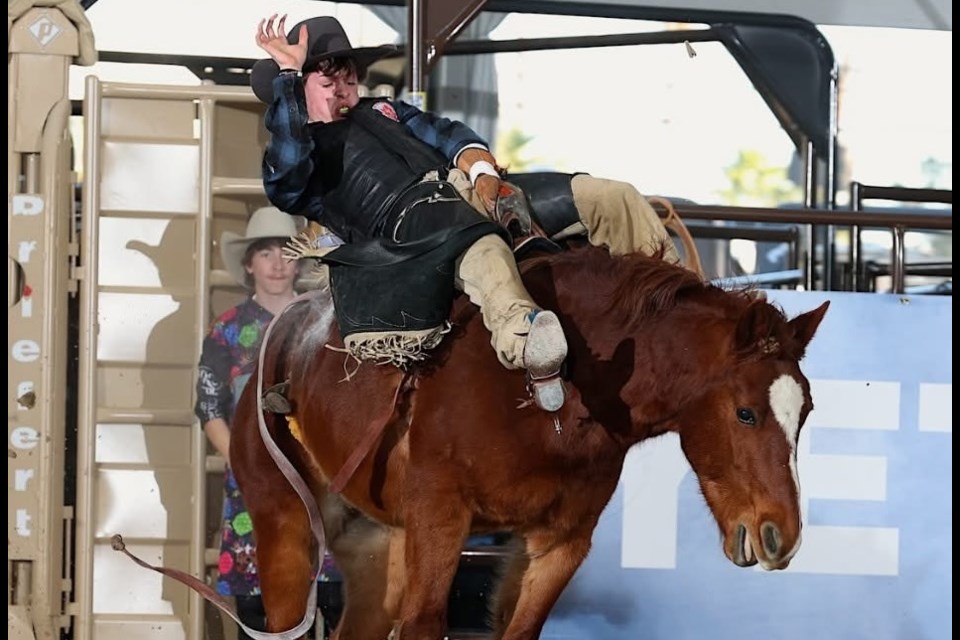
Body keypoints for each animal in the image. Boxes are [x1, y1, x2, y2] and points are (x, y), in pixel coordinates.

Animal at [231, 248, 824, 640]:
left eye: (807, 411)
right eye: (746, 412)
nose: (784, 533)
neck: (558, 394)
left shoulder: (561, 541)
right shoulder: (440, 515)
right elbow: (425, 622)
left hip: (378, 547)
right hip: (284, 523)